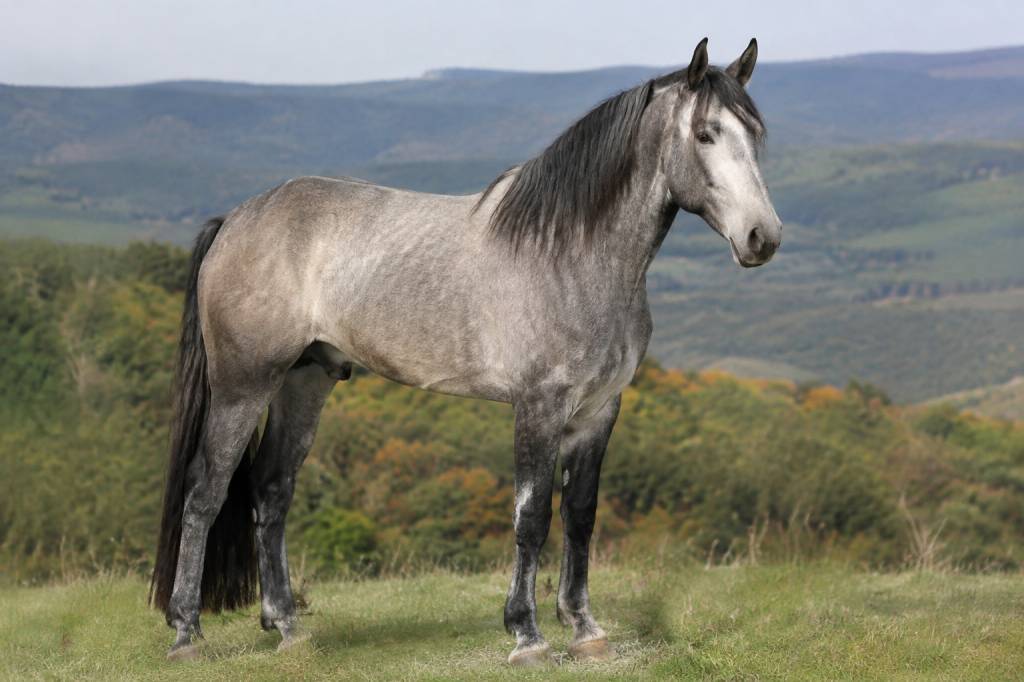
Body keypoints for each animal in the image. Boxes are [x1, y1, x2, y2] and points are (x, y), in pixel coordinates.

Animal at [150, 37, 781, 665]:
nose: (763, 238)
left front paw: (585, 628)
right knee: (205, 493)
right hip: (243, 385)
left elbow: (580, 515)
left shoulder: (599, 410)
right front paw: (526, 635)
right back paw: (186, 633)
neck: (571, 255)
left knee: (272, 490)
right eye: (705, 133)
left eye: (756, 132)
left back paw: (285, 626)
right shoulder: (539, 406)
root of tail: (235, 220)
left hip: (305, 379)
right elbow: (531, 517)